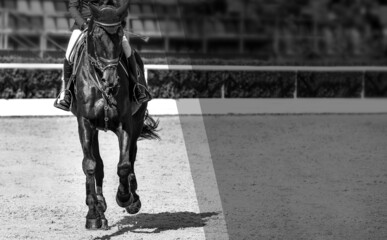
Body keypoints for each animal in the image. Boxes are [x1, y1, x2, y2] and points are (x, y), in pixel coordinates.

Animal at [69, 2, 159, 231]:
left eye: (119, 34)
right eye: (97, 35)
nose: (110, 81)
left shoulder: (125, 124)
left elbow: (124, 164)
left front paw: (125, 197)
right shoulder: (85, 123)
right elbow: (90, 165)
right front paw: (93, 215)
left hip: (137, 120)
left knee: (131, 156)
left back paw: (133, 198)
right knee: (97, 164)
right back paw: (99, 207)